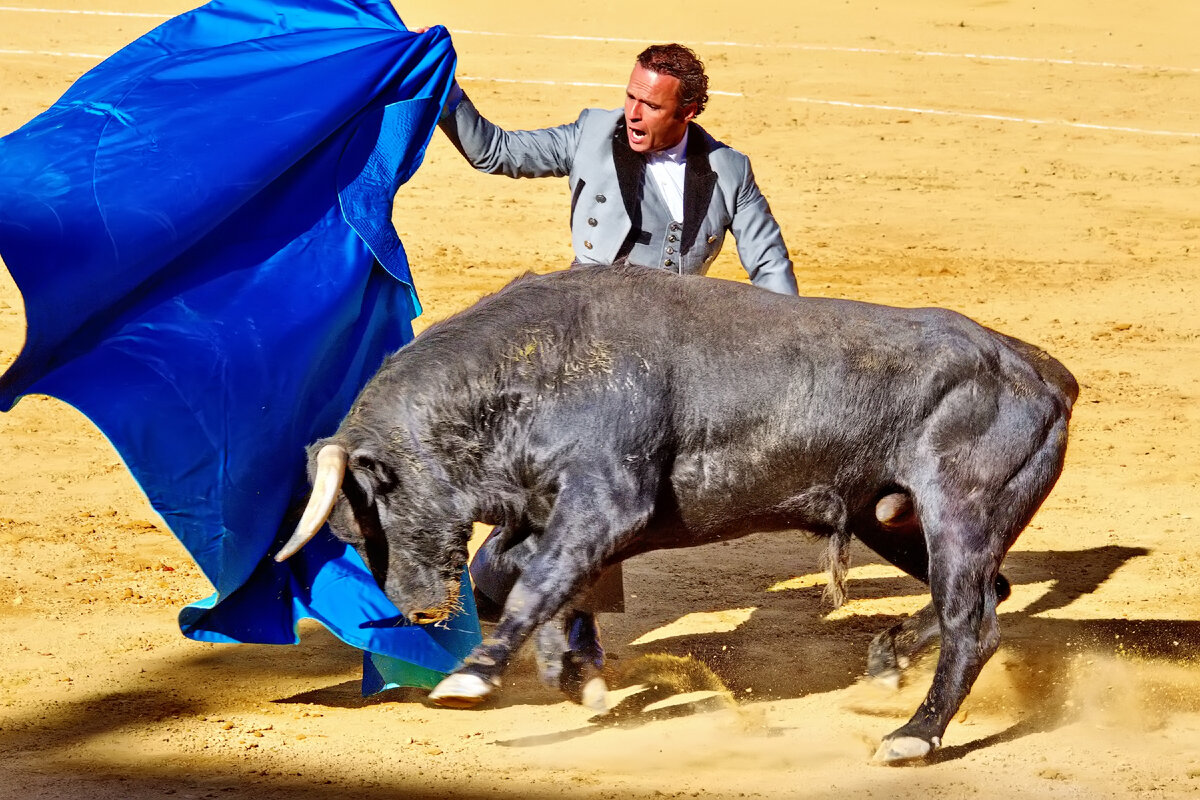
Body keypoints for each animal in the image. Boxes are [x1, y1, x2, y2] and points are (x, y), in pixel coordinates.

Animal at [274, 262, 1080, 762]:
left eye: (366, 517)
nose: (415, 611)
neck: (526, 372)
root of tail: (1044, 371)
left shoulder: (609, 502)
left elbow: (534, 583)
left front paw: (475, 677)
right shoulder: (545, 513)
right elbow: (512, 576)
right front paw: (572, 670)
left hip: (957, 512)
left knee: (973, 627)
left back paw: (913, 736)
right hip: (896, 520)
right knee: (989, 593)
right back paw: (887, 661)